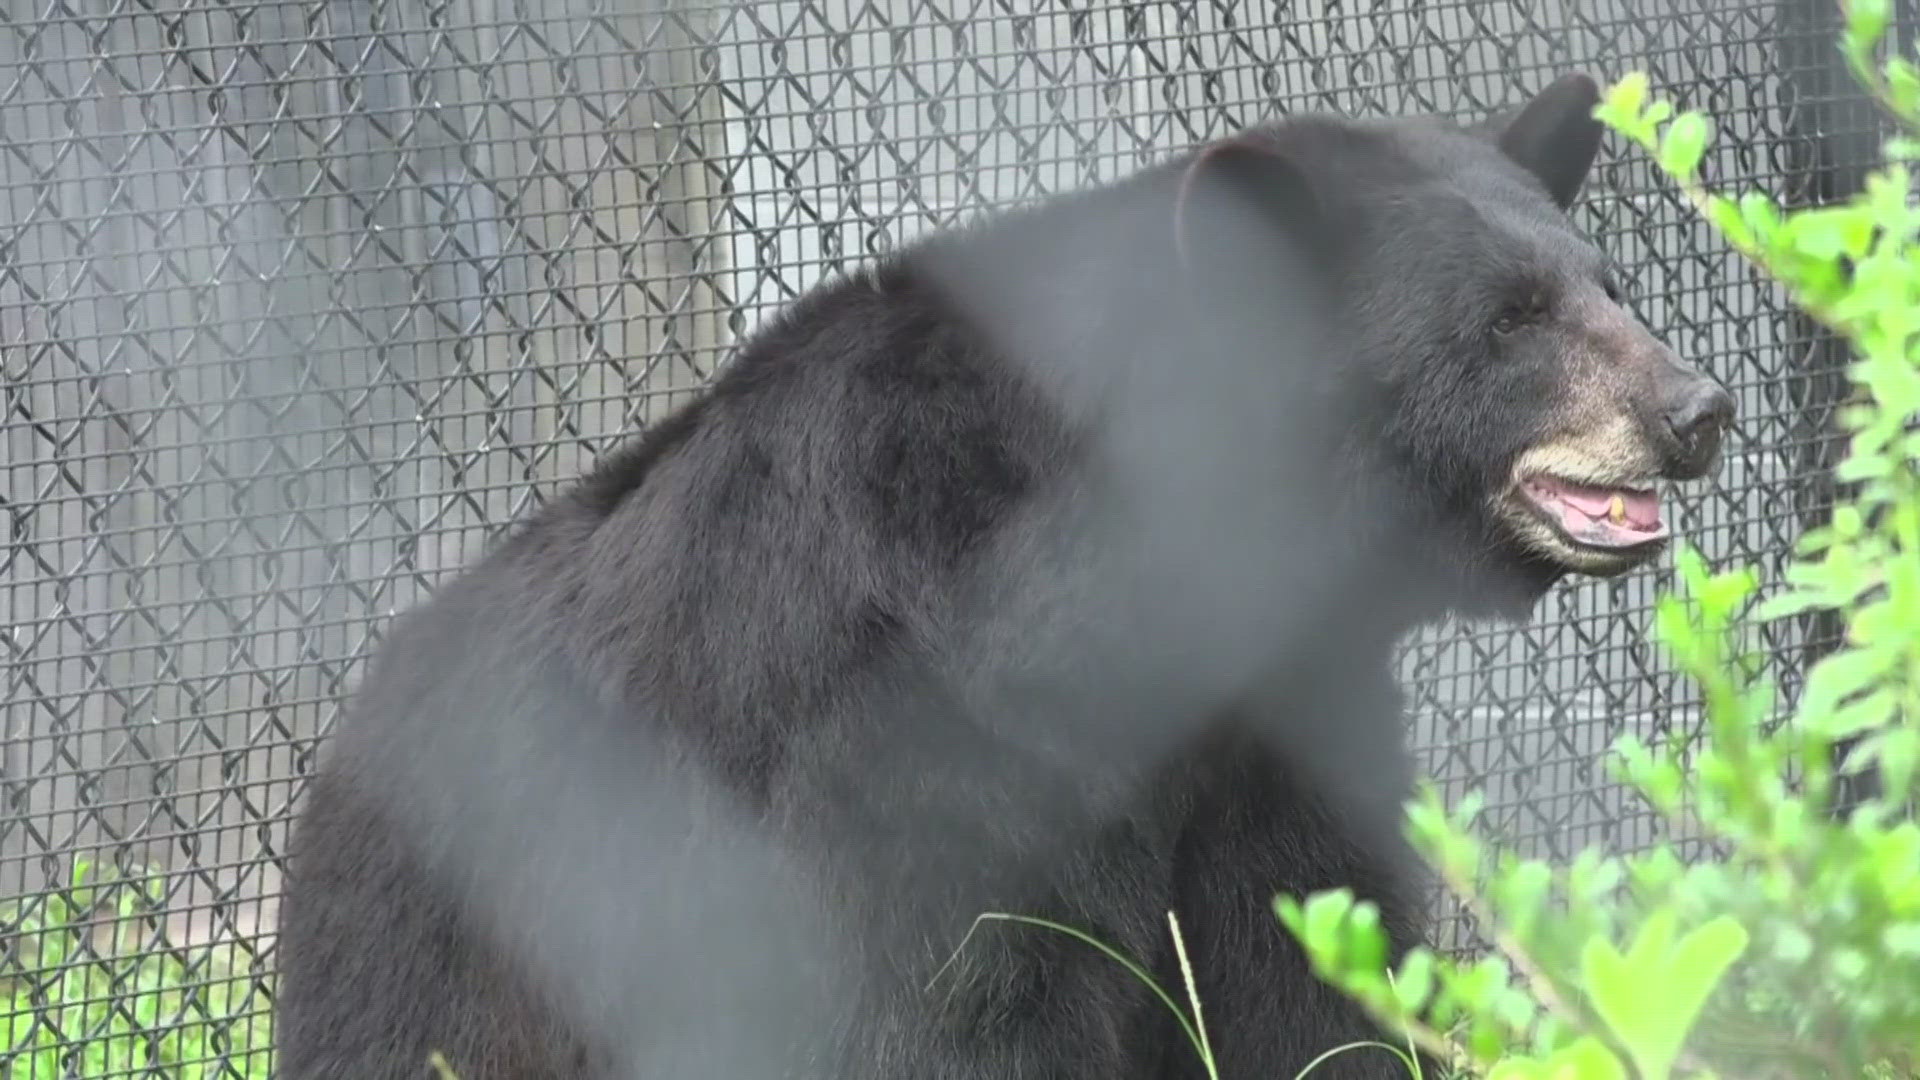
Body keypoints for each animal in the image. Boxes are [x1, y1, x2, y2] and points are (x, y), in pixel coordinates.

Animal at [278, 71, 1735, 1068]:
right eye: (1510, 321)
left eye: (1607, 284)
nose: (1699, 407)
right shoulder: (900, 743)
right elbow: (952, 1007)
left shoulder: (1273, 729)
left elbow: (1301, 964)